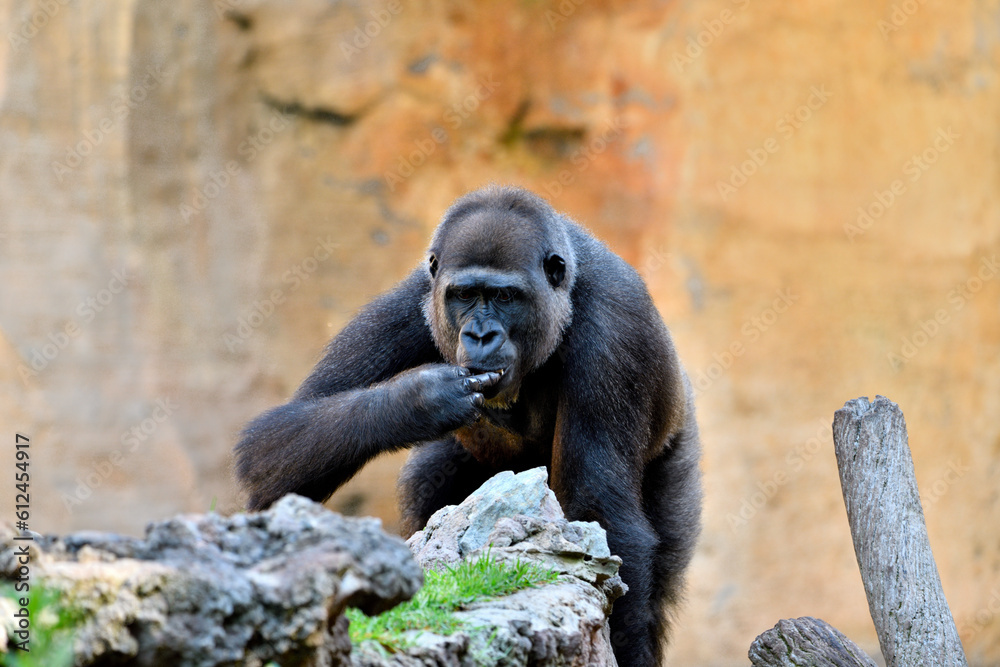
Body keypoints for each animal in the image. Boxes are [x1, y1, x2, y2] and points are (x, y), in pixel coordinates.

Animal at [235, 185, 702, 666]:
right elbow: (271, 445)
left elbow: (602, 510)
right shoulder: (414, 299)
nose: (480, 335)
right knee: (428, 479)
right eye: (464, 295)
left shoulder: (615, 326)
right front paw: (417, 401)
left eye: (506, 297)